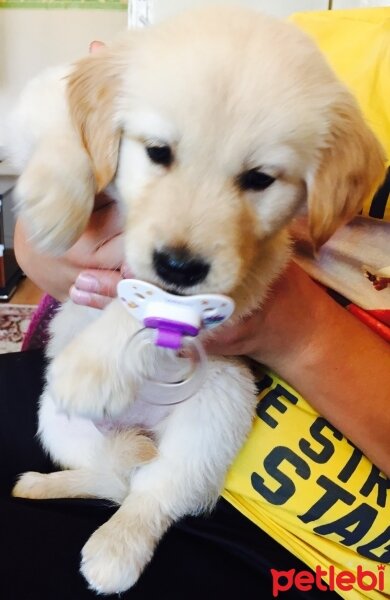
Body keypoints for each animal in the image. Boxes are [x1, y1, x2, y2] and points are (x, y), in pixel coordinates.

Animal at [7, 5, 386, 596]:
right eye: (158, 152)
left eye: (259, 179)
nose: (178, 266)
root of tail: (141, 426)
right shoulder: (51, 91)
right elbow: (61, 117)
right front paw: (51, 202)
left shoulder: (254, 269)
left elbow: (153, 307)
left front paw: (94, 365)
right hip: (54, 419)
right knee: (113, 472)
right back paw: (48, 482)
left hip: (218, 409)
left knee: (151, 492)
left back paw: (115, 547)